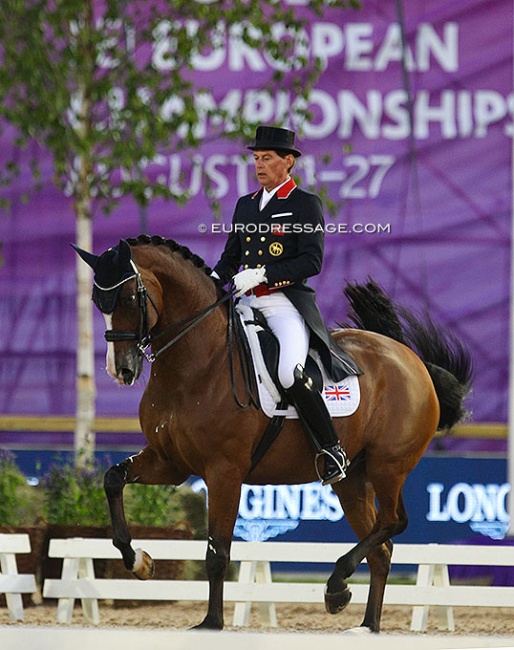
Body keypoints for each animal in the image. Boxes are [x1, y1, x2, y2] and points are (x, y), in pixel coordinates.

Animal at [74, 234, 470, 632]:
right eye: (97, 302)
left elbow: (217, 551)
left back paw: (336, 587)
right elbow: (113, 479)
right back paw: (366, 625)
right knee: (382, 550)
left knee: (394, 521)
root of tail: (412, 360)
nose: (120, 370)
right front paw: (140, 562)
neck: (196, 364)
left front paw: (211, 623)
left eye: (128, 297)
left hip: (388, 466)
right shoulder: (170, 463)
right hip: (352, 480)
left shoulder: (224, 471)